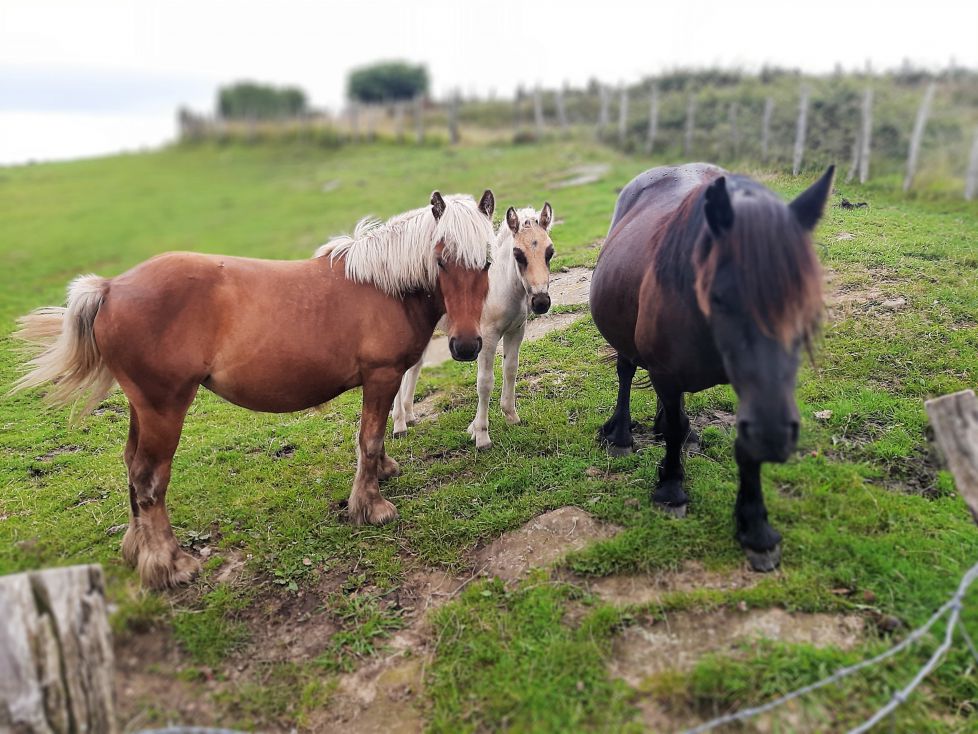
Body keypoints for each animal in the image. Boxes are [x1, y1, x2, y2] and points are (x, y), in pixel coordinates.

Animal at [11, 191, 492, 592]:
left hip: (140, 407)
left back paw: (137, 550)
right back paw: (169, 564)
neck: (384, 285)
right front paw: (371, 506)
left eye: (487, 262)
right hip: (164, 408)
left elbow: (372, 439)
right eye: (442, 261)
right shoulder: (382, 376)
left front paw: (384, 472)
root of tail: (110, 288)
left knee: (131, 466)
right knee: (149, 478)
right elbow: (369, 438)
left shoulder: (384, 381)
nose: (466, 346)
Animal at [390, 204, 556, 452]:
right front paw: (481, 435)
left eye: (550, 252)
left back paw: (409, 416)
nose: (541, 302)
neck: (500, 288)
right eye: (518, 254)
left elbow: (511, 369)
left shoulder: (516, 330)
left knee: (415, 365)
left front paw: (510, 416)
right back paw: (399, 424)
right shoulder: (487, 337)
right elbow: (485, 382)